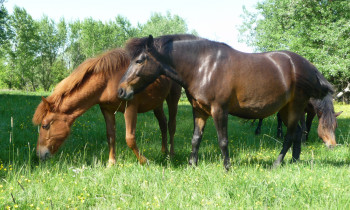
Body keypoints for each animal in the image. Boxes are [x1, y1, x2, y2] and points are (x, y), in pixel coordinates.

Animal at [31, 48, 182, 165]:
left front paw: (144, 161)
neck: (109, 80)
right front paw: (111, 163)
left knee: (171, 125)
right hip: (157, 103)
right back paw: (163, 152)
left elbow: (130, 138)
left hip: (173, 98)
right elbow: (110, 135)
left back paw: (171, 155)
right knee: (162, 123)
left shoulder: (130, 108)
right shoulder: (107, 110)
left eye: (45, 126)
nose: (39, 155)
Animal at [117, 34, 334, 169]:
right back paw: (294, 162)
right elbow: (196, 139)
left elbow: (223, 140)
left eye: (139, 60)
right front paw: (192, 165)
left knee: (289, 136)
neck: (203, 66)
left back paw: (277, 164)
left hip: (295, 107)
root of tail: (308, 66)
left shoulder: (219, 110)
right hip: (286, 109)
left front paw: (227, 167)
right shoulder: (200, 111)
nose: (121, 90)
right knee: (297, 134)